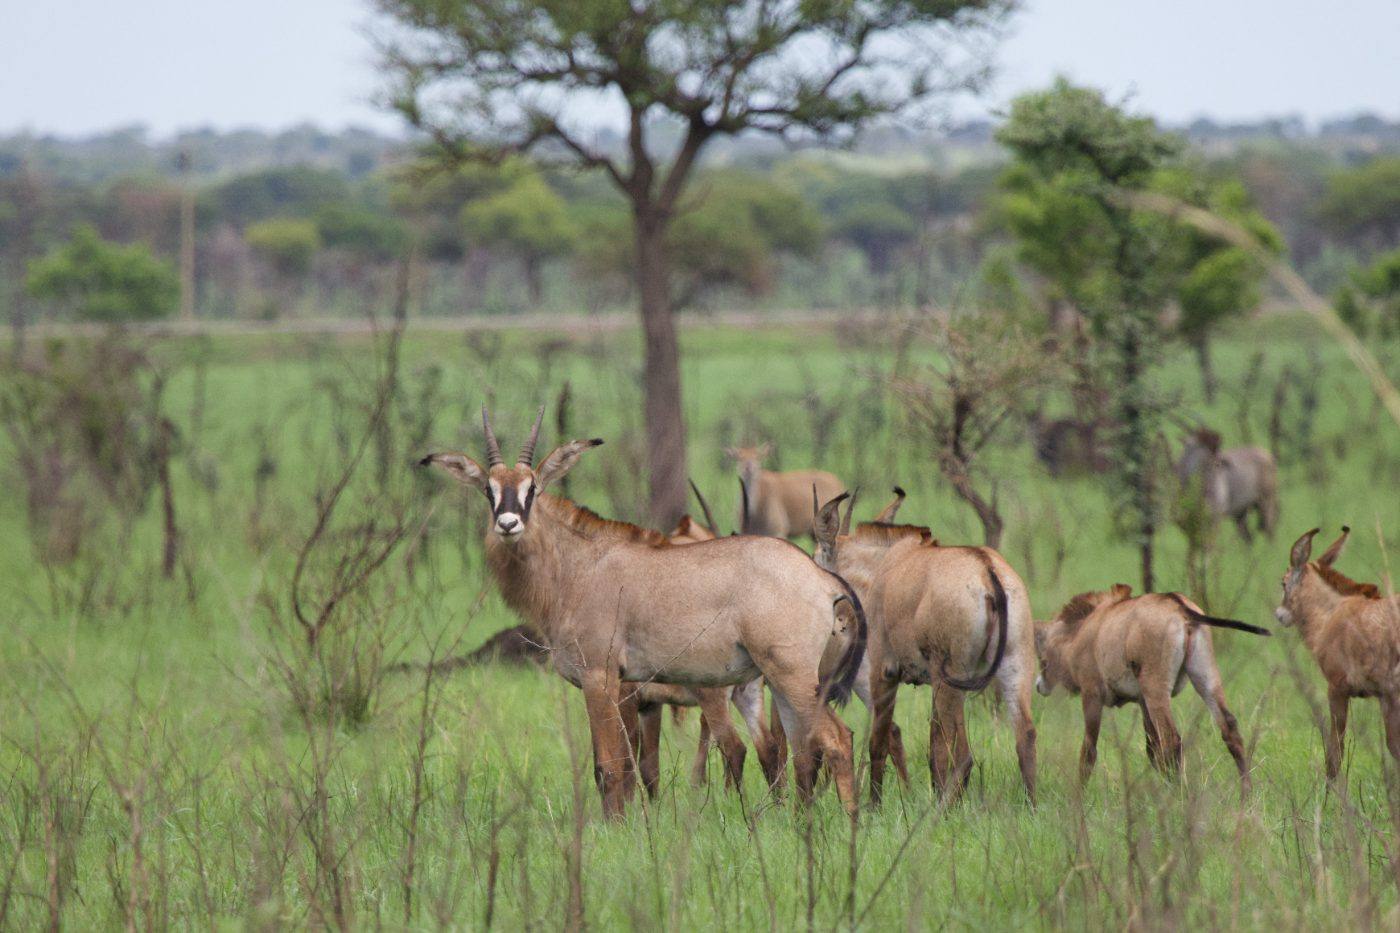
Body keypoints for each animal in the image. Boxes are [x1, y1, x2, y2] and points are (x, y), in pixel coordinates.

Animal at [423, 408, 866, 817]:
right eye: (488, 489)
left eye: (532, 488)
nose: (508, 523)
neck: (578, 565)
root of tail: (824, 580)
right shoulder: (623, 689)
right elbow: (623, 765)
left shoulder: (602, 679)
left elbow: (611, 766)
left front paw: (614, 829)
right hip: (779, 683)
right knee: (803, 749)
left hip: (790, 678)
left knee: (835, 740)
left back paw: (846, 825)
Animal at [812, 492, 1037, 805]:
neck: (887, 564)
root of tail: (987, 570)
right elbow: (934, 745)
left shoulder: (884, 670)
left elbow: (879, 741)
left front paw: (874, 806)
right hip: (1013, 667)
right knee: (1024, 738)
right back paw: (1031, 807)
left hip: (952, 679)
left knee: (963, 755)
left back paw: (945, 809)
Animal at [1035, 585, 1267, 788]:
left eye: (1042, 659)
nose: (1039, 685)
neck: (1082, 633)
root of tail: (1179, 606)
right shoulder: (1142, 701)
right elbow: (1152, 749)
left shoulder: (1092, 695)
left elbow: (1089, 751)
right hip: (1204, 676)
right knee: (1229, 729)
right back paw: (1246, 793)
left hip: (1157, 690)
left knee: (1172, 740)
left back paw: (1180, 794)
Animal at [1276, 526, 1400, 781]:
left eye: (1283, 582)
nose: (1280, 614)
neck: (1331, 614)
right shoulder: (1383, 696)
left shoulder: (1337, 688)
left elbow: (1335, 754)